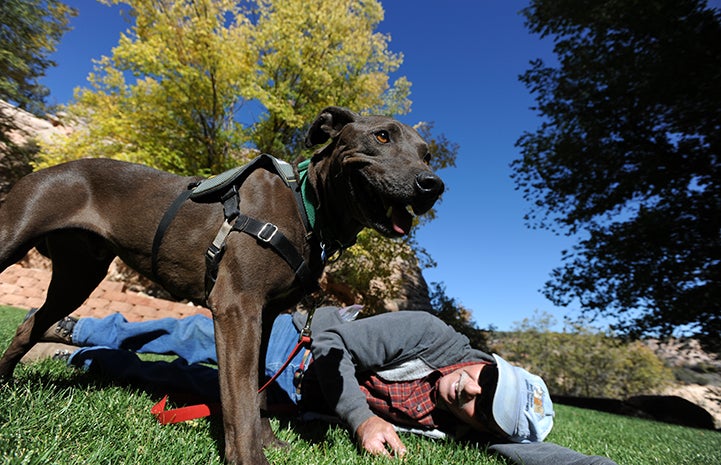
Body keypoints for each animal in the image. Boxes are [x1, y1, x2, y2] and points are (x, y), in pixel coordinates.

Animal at [0, 106, 442, 464]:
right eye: (381, 136)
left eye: (427, 155)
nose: (432, 185)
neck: (306, 206)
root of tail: (50, 168)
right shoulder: (237, 308)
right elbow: (240, 398)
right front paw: (250, 458)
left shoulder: (265, 315)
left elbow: (258, 390)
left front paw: (270, 443)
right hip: (15, 241)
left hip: (78, 278)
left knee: (29, 325)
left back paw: (5, 381)